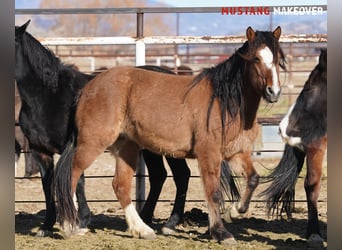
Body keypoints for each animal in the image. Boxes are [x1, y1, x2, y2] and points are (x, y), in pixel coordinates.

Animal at [54, 26, 284, 245]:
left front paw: (234, 212)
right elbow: (213, 192)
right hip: (92, 143)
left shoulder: (236, 153)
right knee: (71, 176)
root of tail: (88, 88)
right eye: (256, 58)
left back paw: (142, 230)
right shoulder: (208, 154)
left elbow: (253, 179)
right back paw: (70, 226)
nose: (274, 92)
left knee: (120, 185)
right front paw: (221, 233)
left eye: (277, 59)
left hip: (127, 147)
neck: (225, 102)